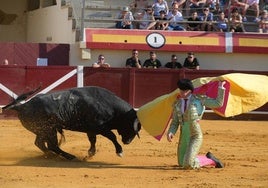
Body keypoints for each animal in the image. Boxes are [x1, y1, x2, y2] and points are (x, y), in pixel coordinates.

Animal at [2, 86, 141, 160]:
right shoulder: (100, 127)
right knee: (52, 145)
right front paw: (120, 151)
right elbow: (112, 136)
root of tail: (22, 106)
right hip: (48, 129)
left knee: (41, 143)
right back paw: (69, 156)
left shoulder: (91, 130)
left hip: (42, 130)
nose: (127, 142)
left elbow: (92, 140)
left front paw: (90, 153)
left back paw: (52, 155)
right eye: (132, 126)